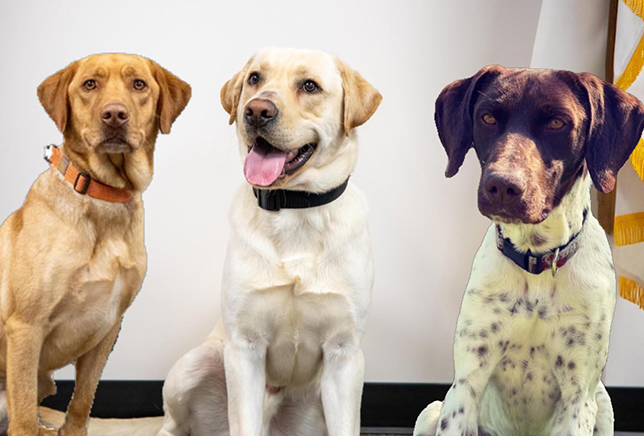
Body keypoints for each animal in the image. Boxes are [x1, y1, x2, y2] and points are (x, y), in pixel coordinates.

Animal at [0, 54, 190, 436]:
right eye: (90, 84)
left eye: (138, 84)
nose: (115, 114)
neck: (104, 195)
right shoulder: (25, 326)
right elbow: (23, 417)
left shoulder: (108, 327)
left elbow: (82, 402)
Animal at [412, 65, 644, 436]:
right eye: (487, 117)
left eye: (557, 122)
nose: (502, 185)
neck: (536, 262)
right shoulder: (466, 383)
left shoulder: (578, 397)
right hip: (432, 411)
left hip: (603, 405)